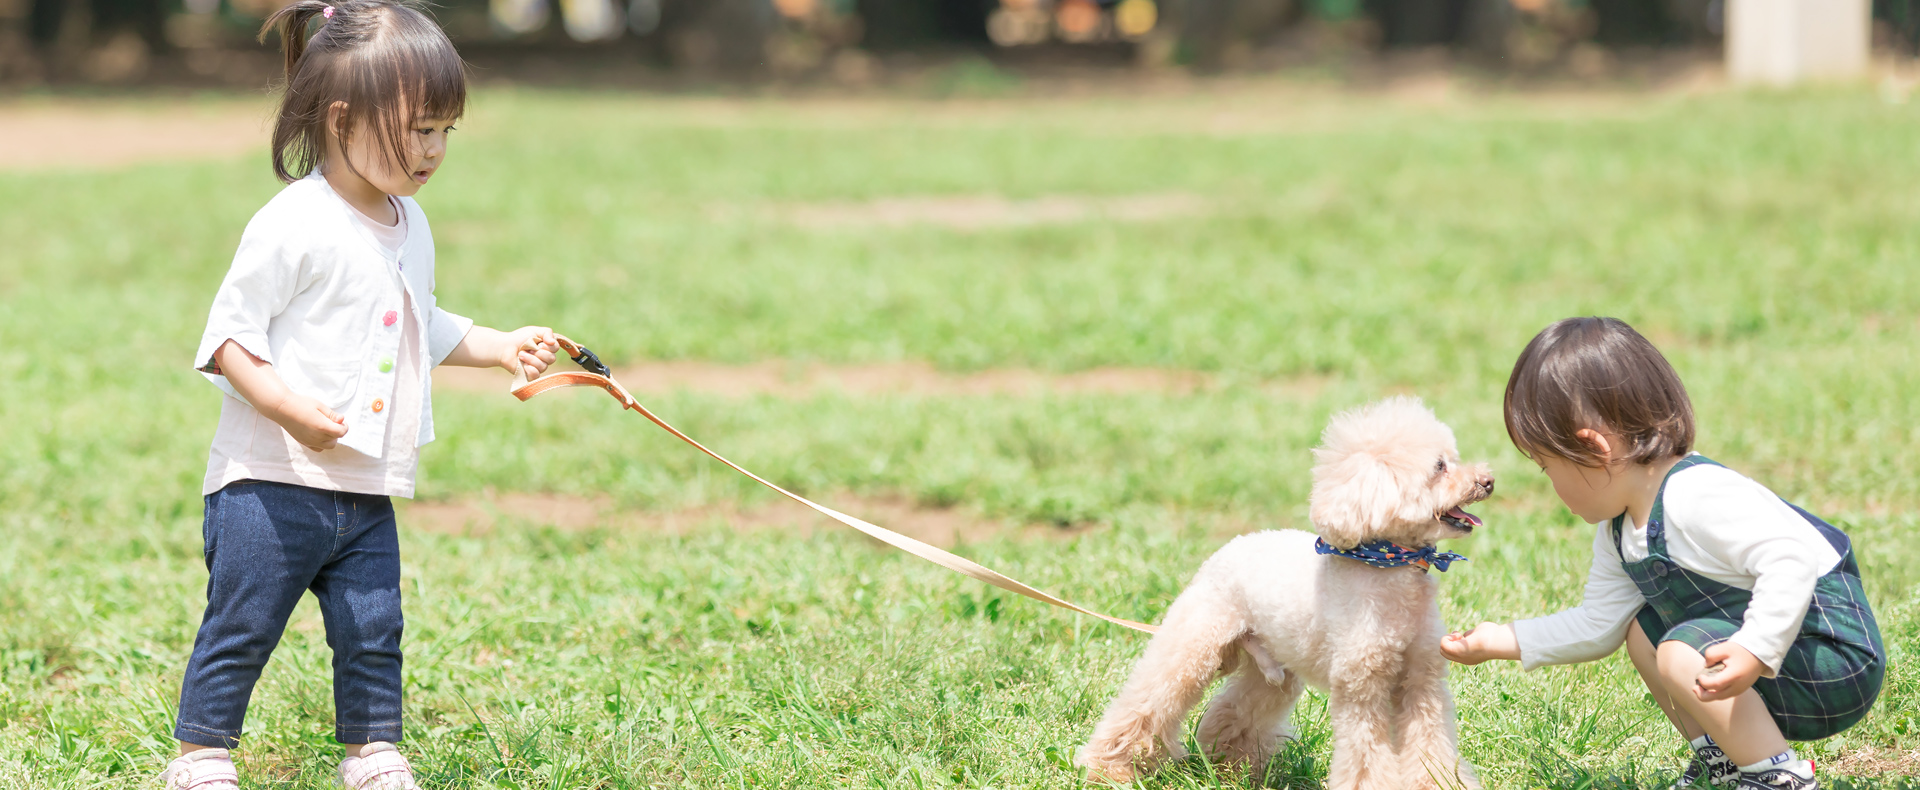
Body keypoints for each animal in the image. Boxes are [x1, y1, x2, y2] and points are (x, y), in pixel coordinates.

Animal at [1075, 401, 1489, 790]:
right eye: (1439, 466)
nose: (1487, 480)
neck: (1388, 566)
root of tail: (1231, 546)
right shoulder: (1360, 687)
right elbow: (1364, 757)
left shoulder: (1422, 680)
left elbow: (1431, 745)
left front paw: (1440, 783)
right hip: (1193, 644)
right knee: (1147, 702)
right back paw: (1108, 769)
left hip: (1273, 669)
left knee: (1235, 711)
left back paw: (1231, 767)